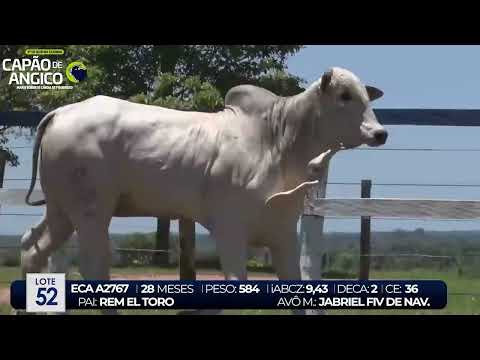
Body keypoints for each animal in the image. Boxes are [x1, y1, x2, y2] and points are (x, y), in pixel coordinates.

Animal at [20, 67, 386, 304]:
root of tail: (61, 112)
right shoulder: (229, 227)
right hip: (91, 212)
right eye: (344, 95)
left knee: (32, 247)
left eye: (366, 97)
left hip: (62, 210)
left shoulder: (282, 230)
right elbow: (237, 283)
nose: (379, 133)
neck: (277, 142)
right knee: (93, 266)